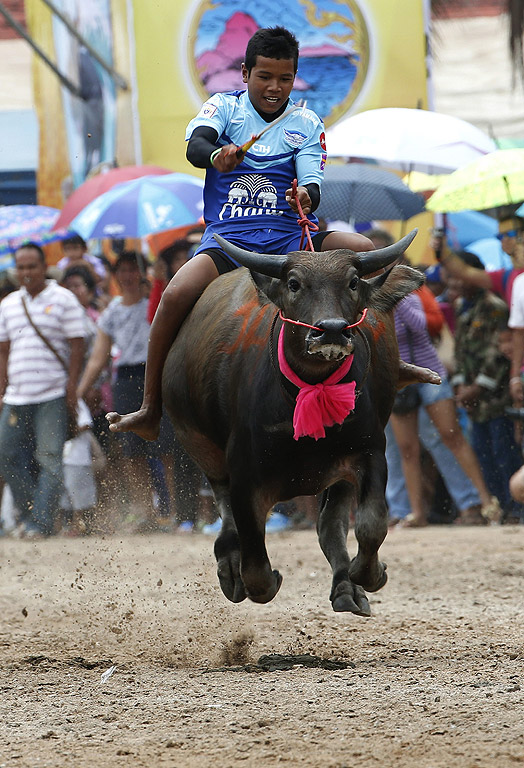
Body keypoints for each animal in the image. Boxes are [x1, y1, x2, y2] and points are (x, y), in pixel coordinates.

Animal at [163, 230, 434, 616]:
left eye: (352, 282)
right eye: (294, 284)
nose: (331, 331)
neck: (309, 388)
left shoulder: (370, 452)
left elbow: (371, 524)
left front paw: (370, 573)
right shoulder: (244, 476)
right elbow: (257, 568)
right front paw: (258, 576)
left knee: (329, 524)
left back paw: (347, 588)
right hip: (200, 445)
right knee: (226, 516)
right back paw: (230, 568)